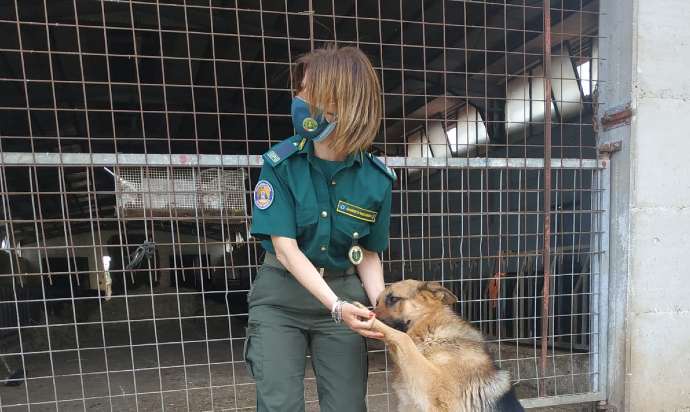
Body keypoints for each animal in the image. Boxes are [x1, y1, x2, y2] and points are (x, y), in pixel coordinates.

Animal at [354, 280, 520, 412]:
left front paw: (362, 311)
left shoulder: (434, 386)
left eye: (394, 298)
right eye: (376, 302)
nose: (366, 314)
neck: (431, 335)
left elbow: (403, 338)